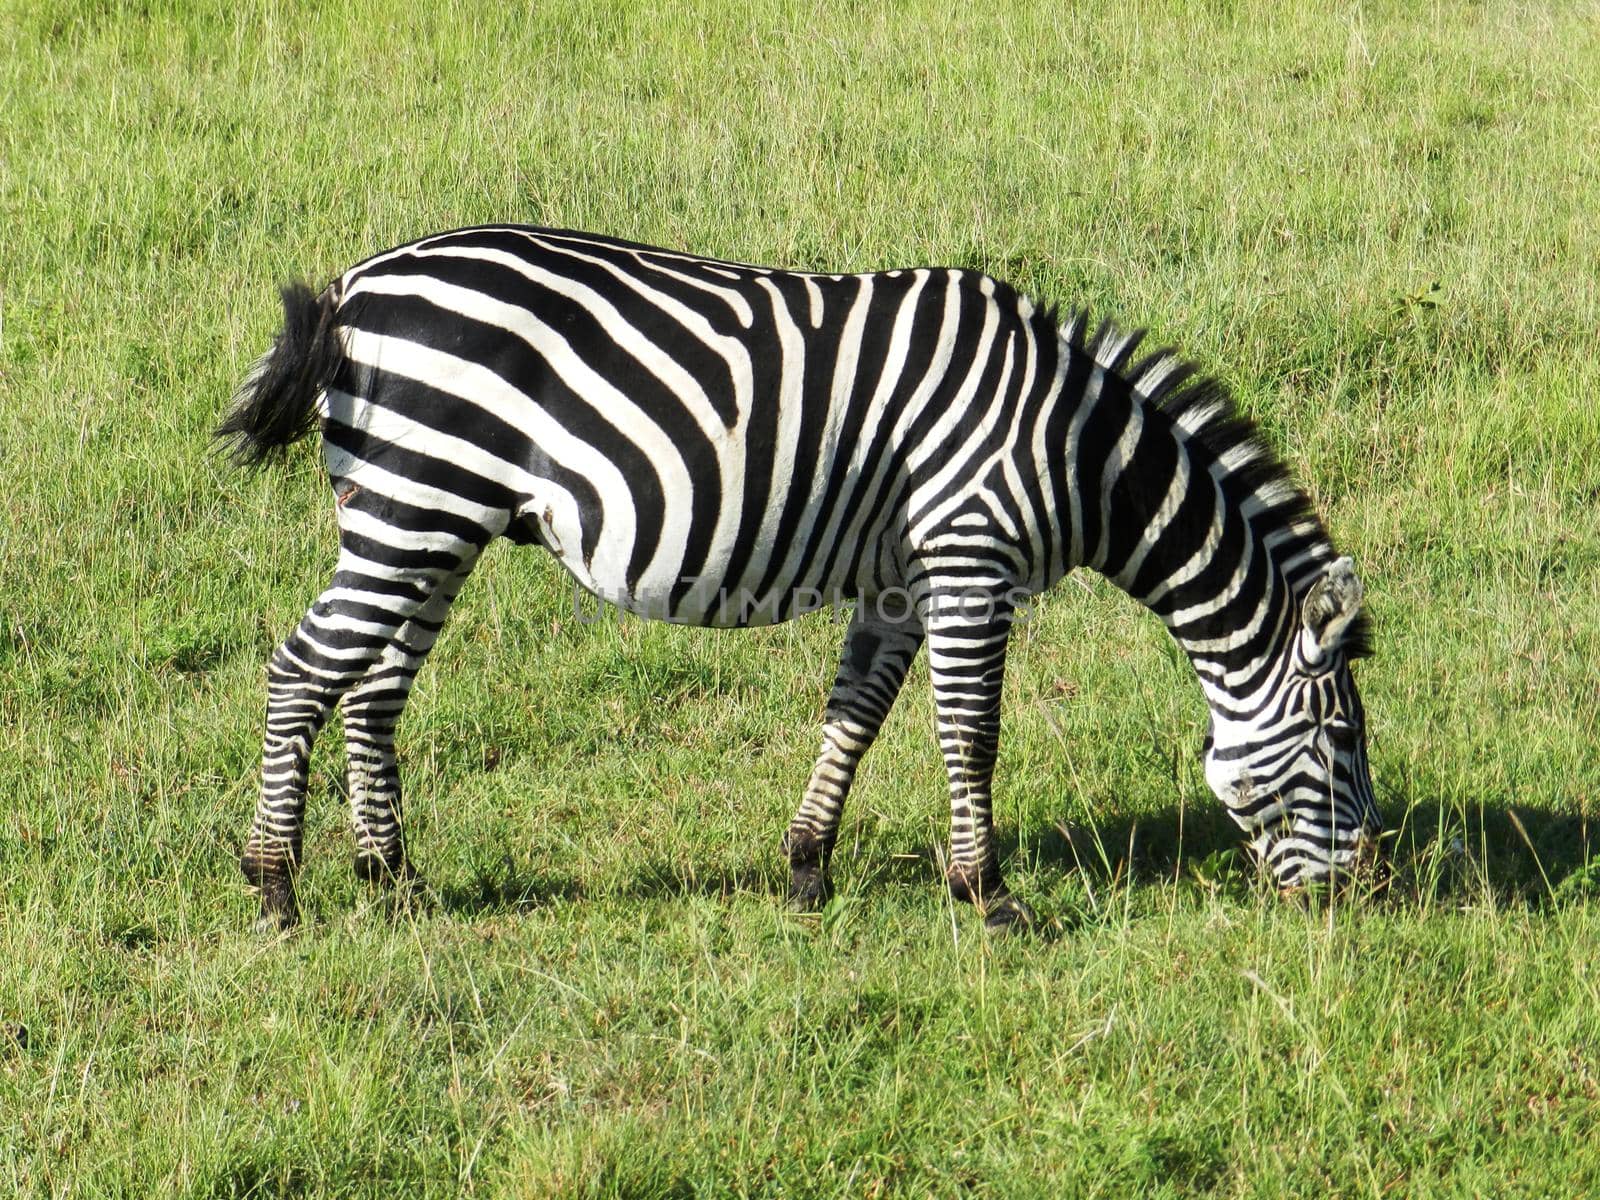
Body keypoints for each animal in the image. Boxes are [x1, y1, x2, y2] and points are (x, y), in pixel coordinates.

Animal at [219, 227, 1382, 940]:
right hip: (413, 506)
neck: (1075, 450)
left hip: (432, 520)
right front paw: (989, 897)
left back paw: (393, 880)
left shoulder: (903, 578)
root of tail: (356, 288)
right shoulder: (971, 556)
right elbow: (971, 731)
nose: (1368, 895)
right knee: (301, 674)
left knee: (372, 690)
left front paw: (807, 868)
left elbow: (856, 714)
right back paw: (276, 886)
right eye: (1340, 740)